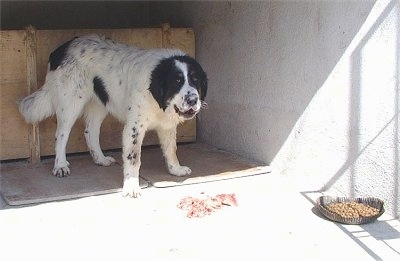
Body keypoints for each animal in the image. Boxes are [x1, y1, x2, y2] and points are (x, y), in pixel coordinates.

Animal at [18, 34, 208, 197]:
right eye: (177, 81)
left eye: (196, 80)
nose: (193, 99)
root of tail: (61, 49)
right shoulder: (133, 129)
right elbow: (133, 158)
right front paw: (131, 186)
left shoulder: (167, 126)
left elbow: (171, 149)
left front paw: (175, 169)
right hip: (70, 104)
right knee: (61, 135)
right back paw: (60, 165)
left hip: (100, 104)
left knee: (90, 131)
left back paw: (100, 159)